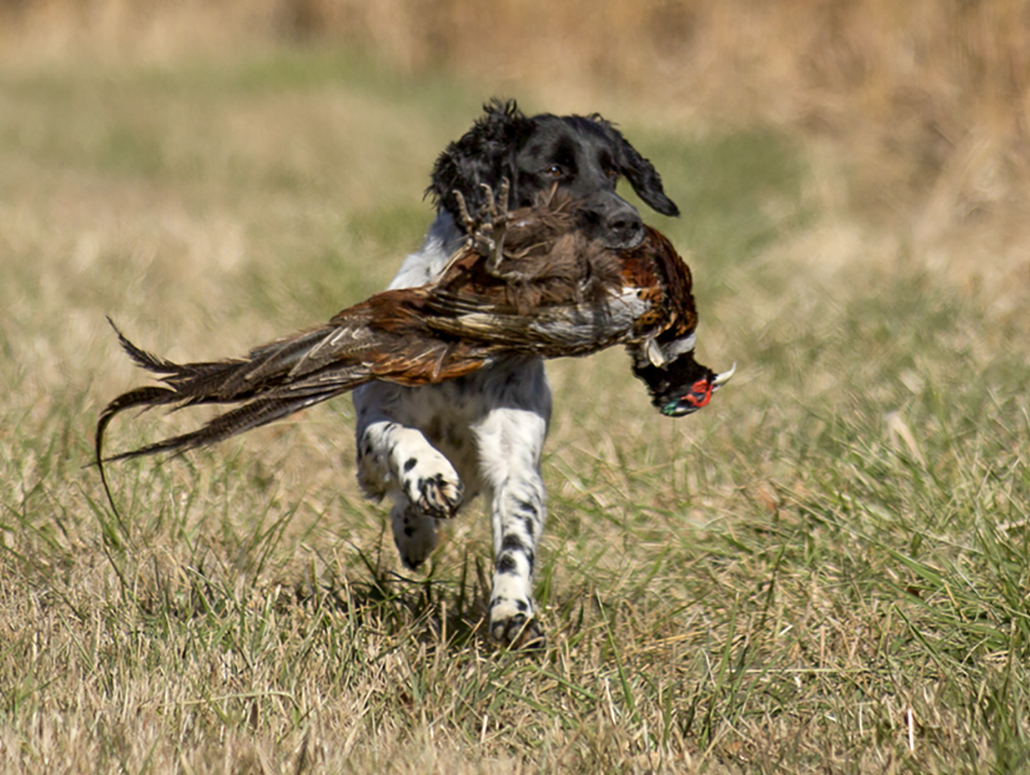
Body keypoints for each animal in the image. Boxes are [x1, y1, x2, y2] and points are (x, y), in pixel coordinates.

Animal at [350, 98, 679, 643]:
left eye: (612, 170)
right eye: (553, 170)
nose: (628, 223)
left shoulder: (515, 461)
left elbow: (515, 540)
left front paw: (512, 611)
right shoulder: (375, 419)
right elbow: (396, 436)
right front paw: (429, 476)